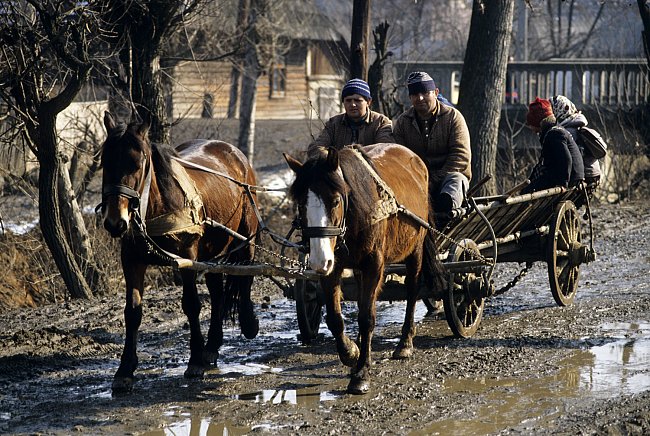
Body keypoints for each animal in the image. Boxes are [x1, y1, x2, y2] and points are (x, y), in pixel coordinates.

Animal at [100, 112, 256, 392]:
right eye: (105, 161)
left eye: (137, 164)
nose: (115, 222)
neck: (154, 209)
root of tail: (233, 152)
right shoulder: (131, 260)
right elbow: (133, 312)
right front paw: (125, 369)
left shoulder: (187, 259)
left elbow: (191, 305)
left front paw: (194, 360)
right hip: (213, 253)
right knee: (217, 293)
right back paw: (212, 345)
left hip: (247, 237)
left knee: (246, 275)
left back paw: (248, 323)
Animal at [284, 144, 446, 396]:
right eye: (301, 204)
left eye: (335, 201)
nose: (319, 261)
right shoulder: (333, 268)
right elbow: (335, 318)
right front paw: (352, 352)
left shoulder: (373, 265)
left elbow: (367, 317)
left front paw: (361, 374)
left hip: (415, 249)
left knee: (412, 290)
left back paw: (405, 343)